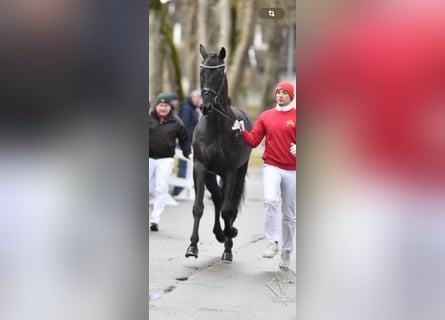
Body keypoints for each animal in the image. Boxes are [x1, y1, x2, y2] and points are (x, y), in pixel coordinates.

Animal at [185, 43, 253, 262]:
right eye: (202, 72)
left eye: (219, 74)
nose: (205, 106)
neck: (216, 127)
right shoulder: (200, 168)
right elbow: (198, 207)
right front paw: (192, 246)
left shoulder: (230, 172)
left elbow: (228, 210)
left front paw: (229, 236)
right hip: (211, 175)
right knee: (217, 197)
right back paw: (219, 233)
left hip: (239, 173)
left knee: (228, 205)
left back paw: (227, 242)